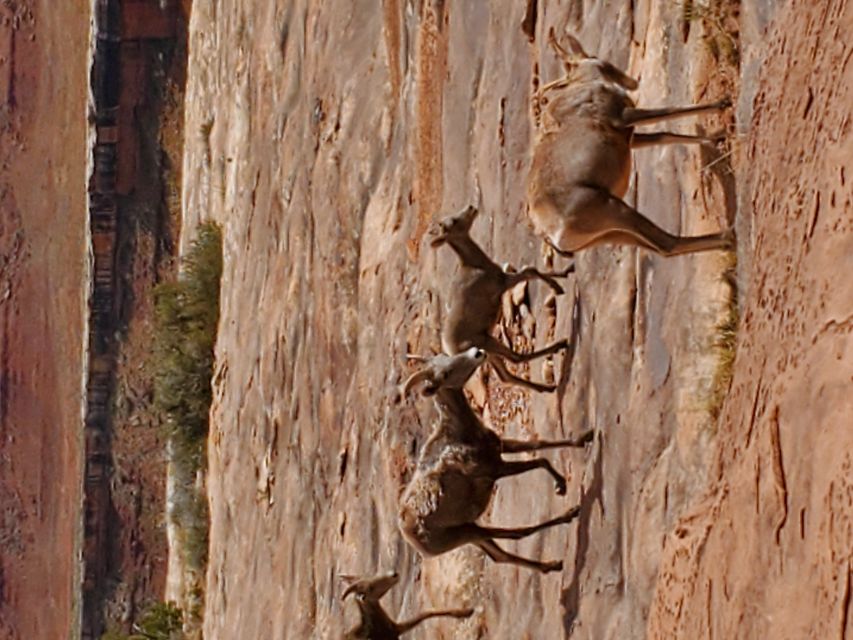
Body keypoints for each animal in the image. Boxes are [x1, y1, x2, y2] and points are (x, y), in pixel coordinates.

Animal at [340, 572, 472, 636]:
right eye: (370, 588)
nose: (394, 574)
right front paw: (467, 612)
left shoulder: (397, 629)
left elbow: (426, 613)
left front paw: (466, 612)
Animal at [396, 348, 588, 572]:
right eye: (444, 374)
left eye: (446, 356)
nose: (477, 352)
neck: (462, 435)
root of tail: (409, 533)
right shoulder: (496, 469)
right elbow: (540, 461)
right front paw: (561, 486)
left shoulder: (501, 447)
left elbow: (540, 444)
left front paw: (585, 438)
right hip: (467, 533)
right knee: (515, 534)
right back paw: (569, 516)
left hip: (470, 529)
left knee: (500, 555)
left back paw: (553, 564)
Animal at [432, 206, 572, 396]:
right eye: (452, 222)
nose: (471, 208)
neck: (476, 266)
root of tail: (450, 350)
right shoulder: (504, 283)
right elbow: (530, 271)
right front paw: (558, 287)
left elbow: (531, 270)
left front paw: (566, 270)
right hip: (488, 344)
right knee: (516, 358)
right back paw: (559, 345)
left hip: (487, 353)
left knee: (505, 376)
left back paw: (547, 388)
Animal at [524, 27, 732, 258]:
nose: (632, 82)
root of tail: (547, 233)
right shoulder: (625, 117)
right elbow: (670, 110)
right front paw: (724, 102)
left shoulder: (631, 137)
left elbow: (665, 134)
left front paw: (717, 137)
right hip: (616, 210)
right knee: (668, 243)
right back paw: (730, 236)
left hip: (611, 233)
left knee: (662, 248)